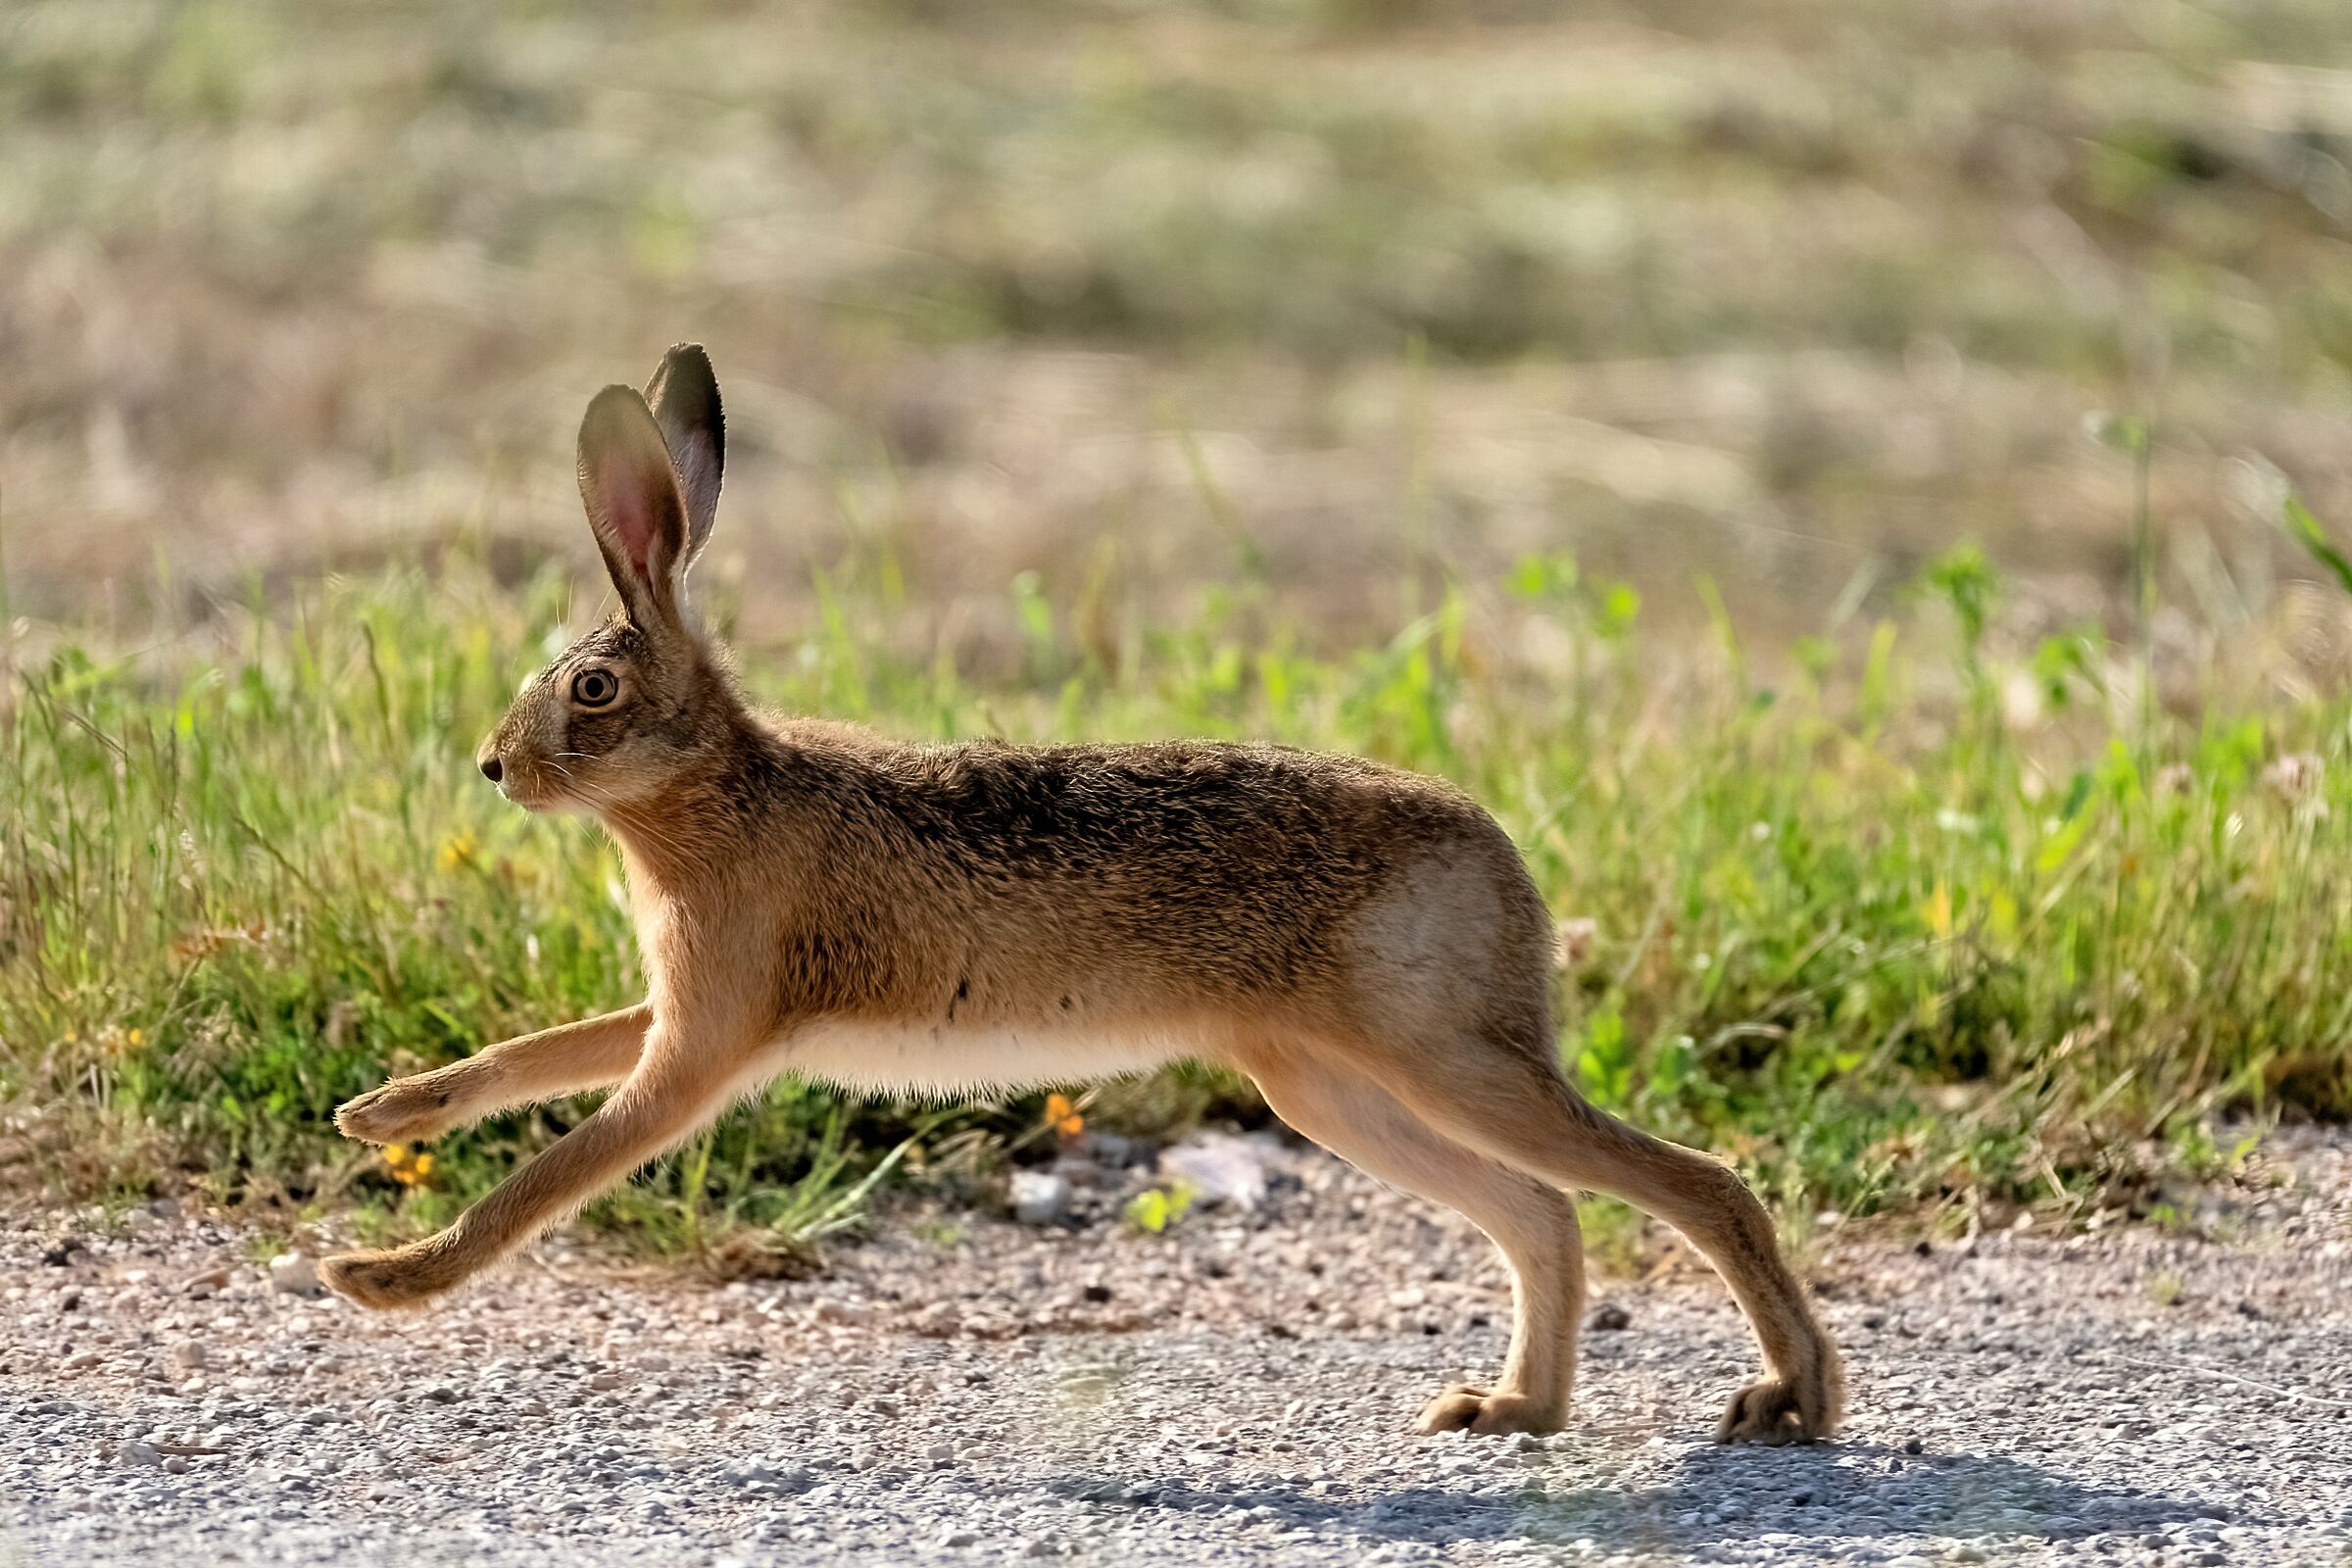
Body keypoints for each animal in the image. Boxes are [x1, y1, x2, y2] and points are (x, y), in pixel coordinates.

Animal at [323, 345, 1844, 1443]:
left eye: (590, 687)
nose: (497, 768)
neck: (714, 790)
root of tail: (1504, 860)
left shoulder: (707, 1040)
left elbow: (551, 1174)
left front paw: (383, 1279)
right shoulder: (679, 1009)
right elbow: (534, 1055)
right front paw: (383, 1113)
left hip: (1437, 1051)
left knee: (1694, 1183)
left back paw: (1793, 1401)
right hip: (1326, 1083)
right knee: (1541, 1211)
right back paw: (1513, 1409)